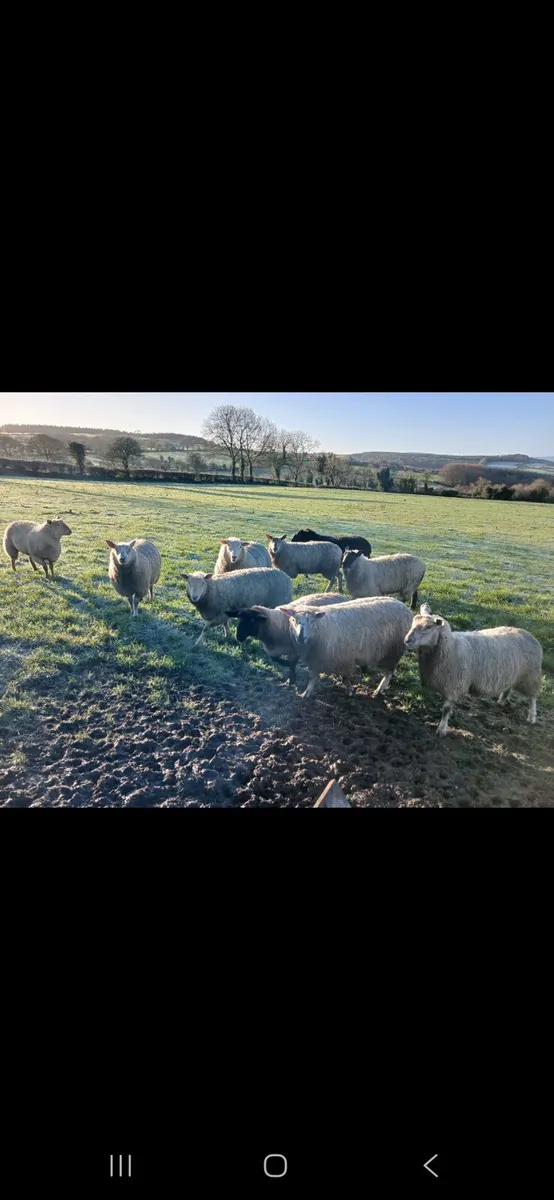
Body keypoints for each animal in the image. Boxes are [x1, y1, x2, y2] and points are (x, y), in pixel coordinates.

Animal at [280, 596, 413, 699]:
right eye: (294, 619)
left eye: (312, 621)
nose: (300, 637)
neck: (322, 628)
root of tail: (404, 606)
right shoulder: (315, 659)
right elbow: (313, 677)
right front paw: (307, 693)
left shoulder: (344, 658)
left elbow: (345, 677)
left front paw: (349, 691)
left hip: (394, 650)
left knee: (389, 672)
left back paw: (379, 689)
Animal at [404, 603, 543, 736]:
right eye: (413, 623)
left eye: (428, 627)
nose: (407, 640)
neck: (451, 647)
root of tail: (528, 634)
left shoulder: (454, 685)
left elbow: (446, 709)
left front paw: (442, 729)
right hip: (512, 673)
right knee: (508, 687)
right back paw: (502, 701)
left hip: (530, 676)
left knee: (533, 698)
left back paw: (531, 717)